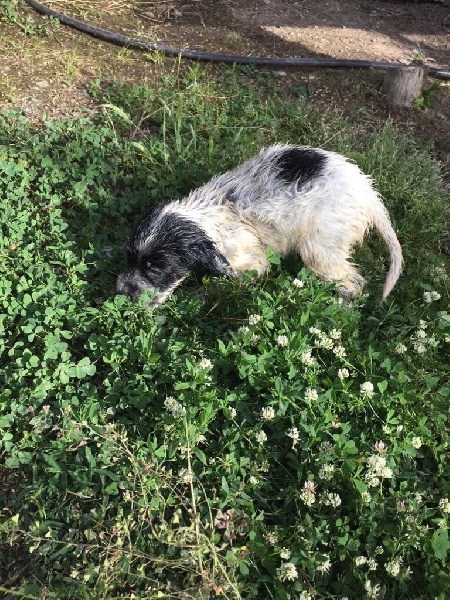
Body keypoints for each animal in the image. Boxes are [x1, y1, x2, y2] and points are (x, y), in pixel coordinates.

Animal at [117, 144, 403, 306]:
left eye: (155, 268)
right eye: (129, 260)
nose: (121, 293)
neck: (206, 219)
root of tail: (367, 192)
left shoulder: (250, 262)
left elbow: (223, 284)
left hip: (320, 248)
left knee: (354, 283)